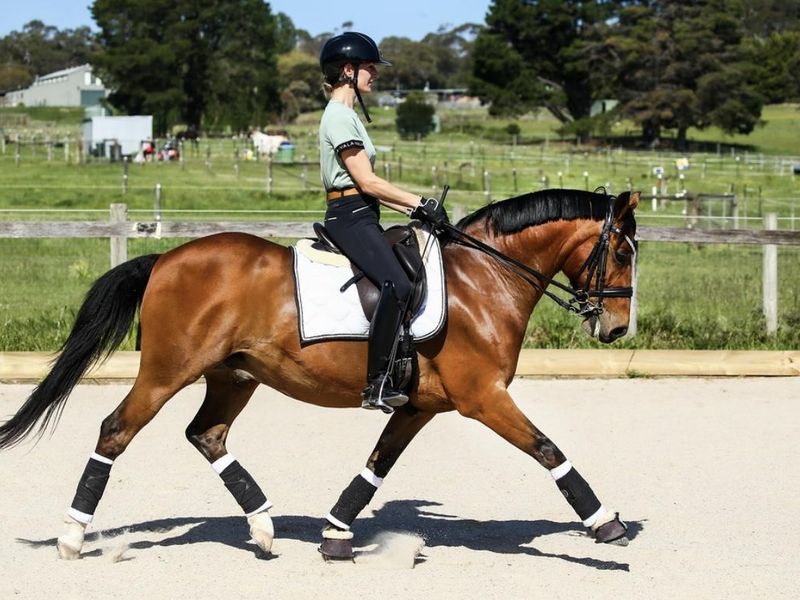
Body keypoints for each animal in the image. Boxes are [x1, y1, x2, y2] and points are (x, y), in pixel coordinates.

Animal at [0, 188, 639, 561]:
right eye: (624, 253)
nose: (615, 329)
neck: (483, 280)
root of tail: (166, 258)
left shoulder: (419, 405)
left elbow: (376, 466)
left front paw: (334, 533)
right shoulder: (483, 396)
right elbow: (549, 449)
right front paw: (605, 525)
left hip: (234, 376)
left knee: (207, 435)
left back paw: (263, 528)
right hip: (167, 371)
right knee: (116, 431)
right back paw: (71, 537)